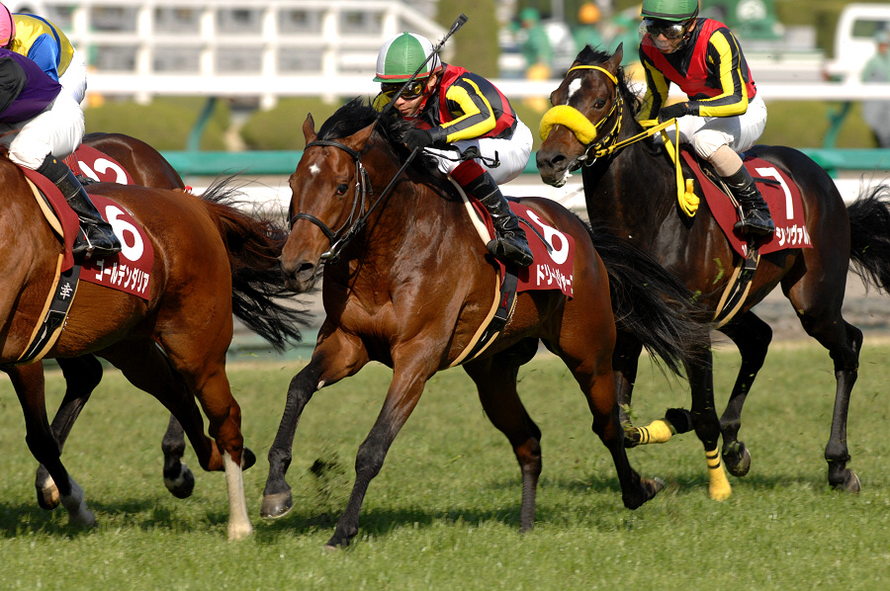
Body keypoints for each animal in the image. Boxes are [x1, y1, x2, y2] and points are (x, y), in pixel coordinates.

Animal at [0, 151, 304, 539]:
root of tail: (194, 204)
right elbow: (41, 438)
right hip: (130, 346)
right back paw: (200, 466)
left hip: (197, 347)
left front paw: (76, 507)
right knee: (175, 393)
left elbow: (39, 438)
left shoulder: (23, 349)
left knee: (224, 416)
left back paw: (240, 523)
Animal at [259, 99, 712, 548]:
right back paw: (526, 527)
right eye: (293, 183)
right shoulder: (349, 342)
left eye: (341, 187)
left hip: (590, 353)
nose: (295, 265)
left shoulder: (417, 356)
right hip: (493, 371)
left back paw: (639, 489)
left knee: (608, 426)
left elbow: (372, 448)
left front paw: (343, 532)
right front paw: (276, 491)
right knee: (529, 440)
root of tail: (581, 230)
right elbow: (298, 387)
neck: (390, 249)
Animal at [535, 45, 890, 498]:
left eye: (598, 101)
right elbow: (625, 423)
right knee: (760, 339)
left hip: (815, 297)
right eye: (554, 96)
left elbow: (702, 414)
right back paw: (736, 444)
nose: (549, 160)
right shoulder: (631, 324)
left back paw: (839, 464)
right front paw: (677, 426)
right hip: (737, 303)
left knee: (848, 348)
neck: (651, 215)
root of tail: (823, 179)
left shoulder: (690, 325)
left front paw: (717, 484)